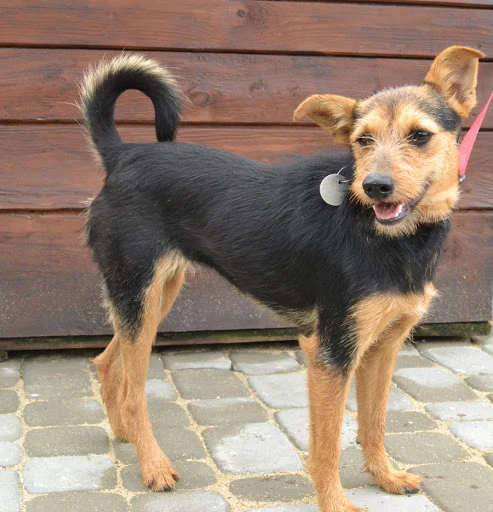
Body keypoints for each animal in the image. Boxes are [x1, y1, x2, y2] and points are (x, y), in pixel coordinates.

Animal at [80, 46, 483, 512]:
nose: (375, 186)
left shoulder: (383, 347)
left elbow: (375, 421)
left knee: (108, 362)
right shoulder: (331, 352)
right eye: (362, 140)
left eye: (419, 136)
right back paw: (154, 465)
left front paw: (384, 476)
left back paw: (124, 434)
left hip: (152, 297)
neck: (388, 236)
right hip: (138, 293)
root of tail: (123, 155)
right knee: (135, 391)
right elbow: (327, 445)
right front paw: (336, 502)